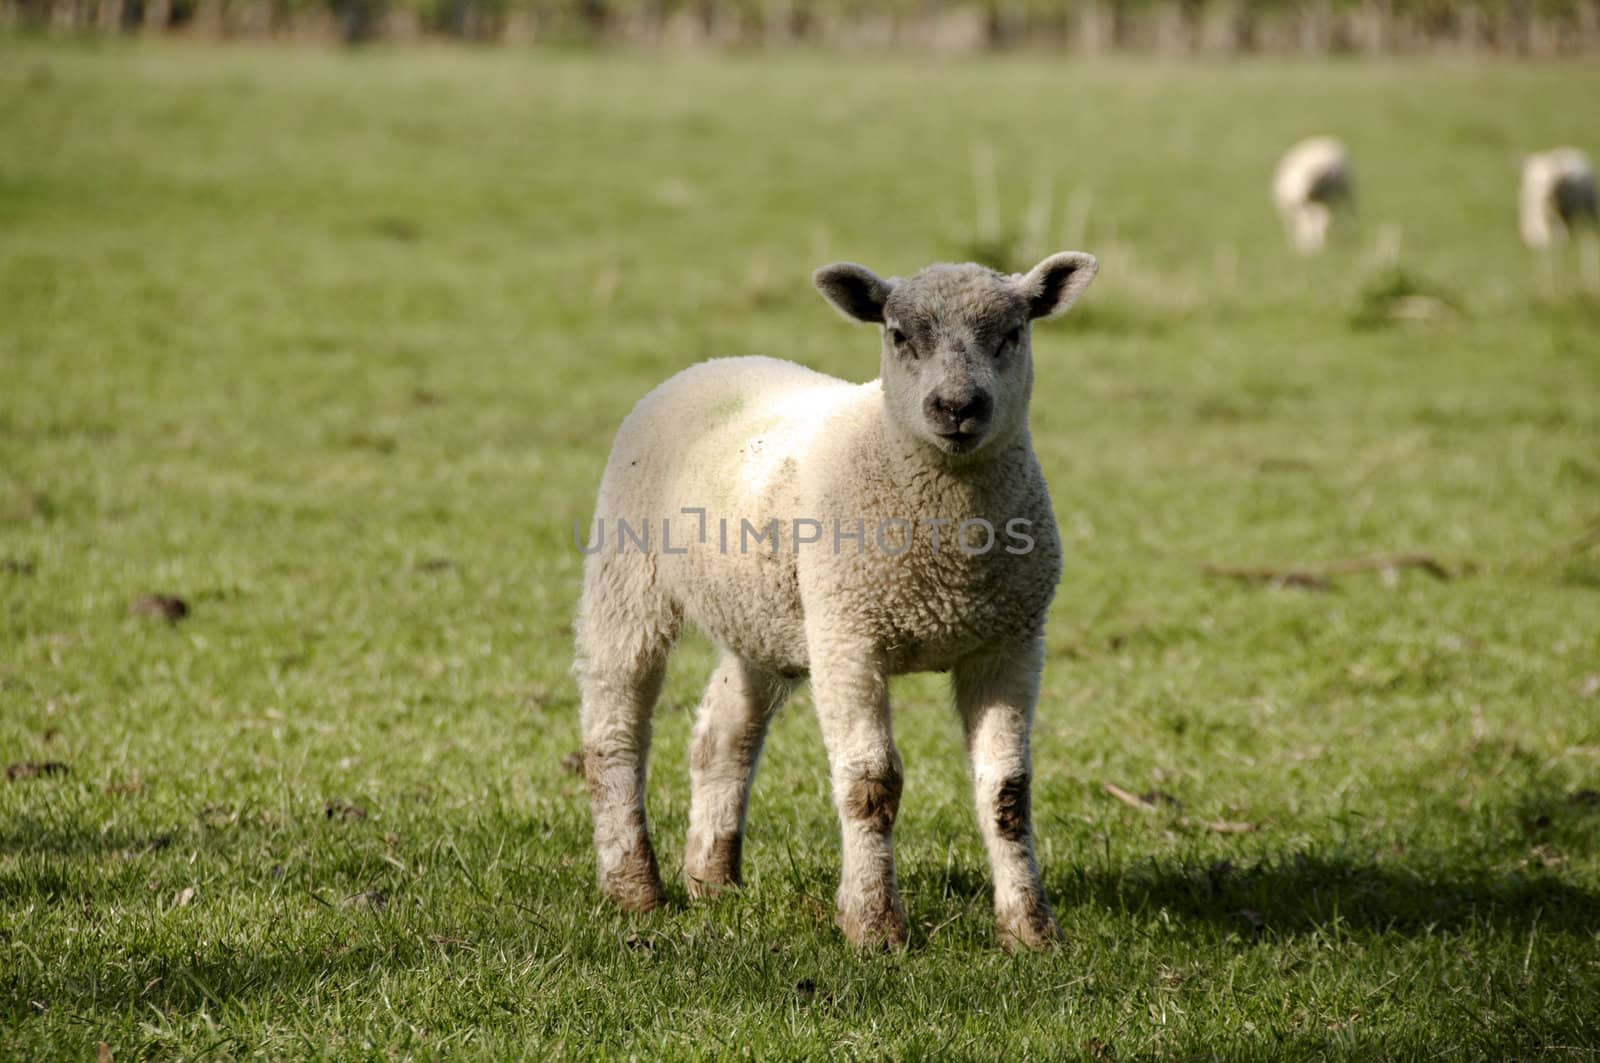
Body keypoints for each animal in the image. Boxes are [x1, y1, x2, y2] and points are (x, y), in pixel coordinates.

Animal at [576, 252, 1100, 947]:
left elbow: (1007, 793)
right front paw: (874, 926)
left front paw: (1031, 931)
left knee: (724, 732)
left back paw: (712, 879)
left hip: (768, 618)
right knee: (614, 727)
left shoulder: (1010, 641)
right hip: (627, 574)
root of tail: (715, 363)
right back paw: (634, 889)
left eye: (1012, 334)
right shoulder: (851, 636)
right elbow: (871, 784)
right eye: (899, 335)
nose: (957, 407)